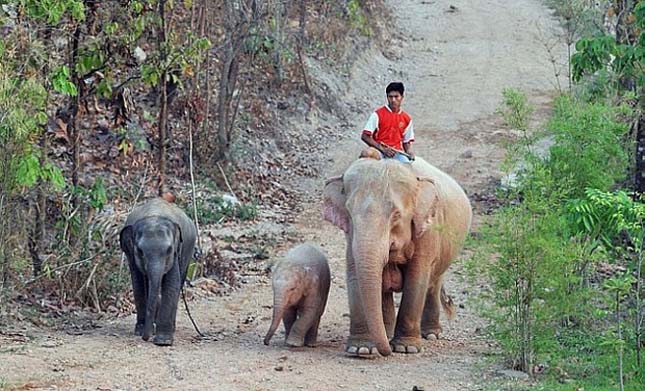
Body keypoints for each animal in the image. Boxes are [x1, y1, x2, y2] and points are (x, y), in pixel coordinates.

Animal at [119, 199, 196, 346]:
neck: (154, 216)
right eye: (140, 251)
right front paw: (140, 331)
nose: (145, 337)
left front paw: (163, 341)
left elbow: (172, 283)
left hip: (188, 251)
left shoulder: (176, 253)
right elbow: (138, 284)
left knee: (179, 282)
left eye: (169, 249)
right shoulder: (131, 255)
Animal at [324, 156, 470, 358]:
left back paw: (431, 334)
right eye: (349, 213)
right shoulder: (351, 237)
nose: (385, 352)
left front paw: (405, 348)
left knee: (433, 285)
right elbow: (355, 274)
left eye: (396, 215)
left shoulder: (427, 232)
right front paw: (361, 349)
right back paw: (388, 333)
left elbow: (416, 278)